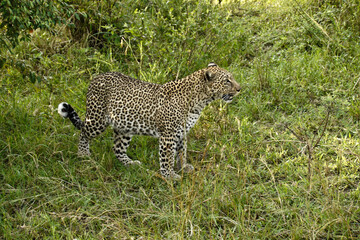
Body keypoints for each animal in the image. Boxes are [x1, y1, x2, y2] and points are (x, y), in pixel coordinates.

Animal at [57, 62, 240, 179]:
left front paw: (183, 167)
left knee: (117, 148)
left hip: (124, 127)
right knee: (83, 133)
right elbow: (167, 156)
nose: (239, 89)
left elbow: (182, 151)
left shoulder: (182, 132)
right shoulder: (168, 134)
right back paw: (83, 155)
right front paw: (169, 175)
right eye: (227, 81)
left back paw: (130, 163)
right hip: (97, 119)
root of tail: (95, 78)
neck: (199, 101)